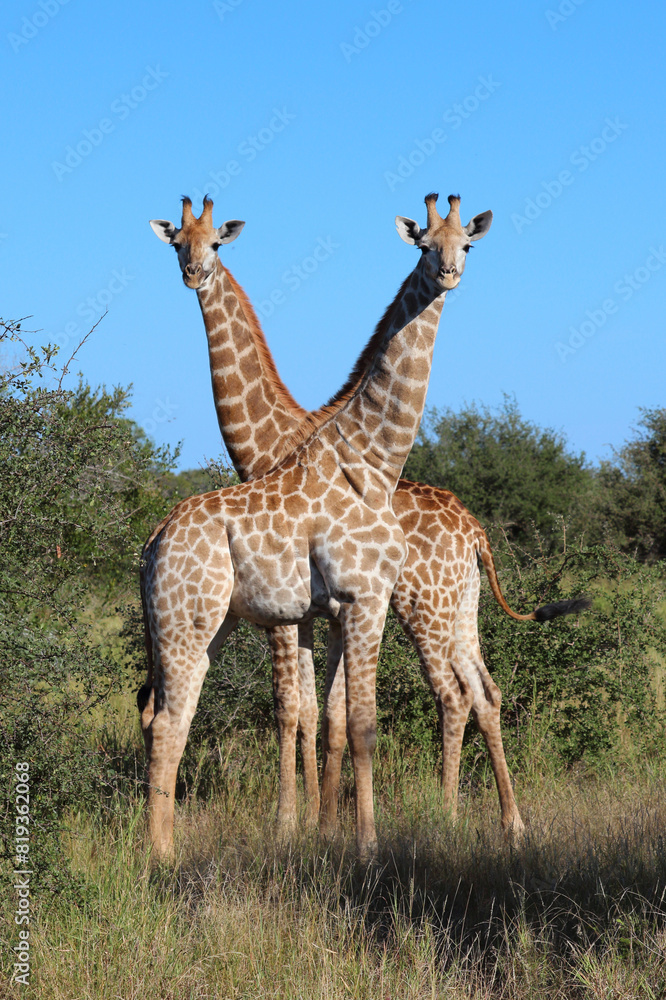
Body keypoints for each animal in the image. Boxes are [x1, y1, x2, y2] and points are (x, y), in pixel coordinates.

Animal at [149, 195, 587, 840]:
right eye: (178, 243)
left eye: (216, 244)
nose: (193, 273)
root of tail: (476, 530)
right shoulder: (322, 609)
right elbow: (318, 713)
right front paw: (318, 823)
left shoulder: (311, 610)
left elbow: (308, 712)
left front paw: (303, 824)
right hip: (453, 608)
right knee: (482, 693)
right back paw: (503, 822)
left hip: (430, 607)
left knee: (458, 695)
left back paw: (461, 816)